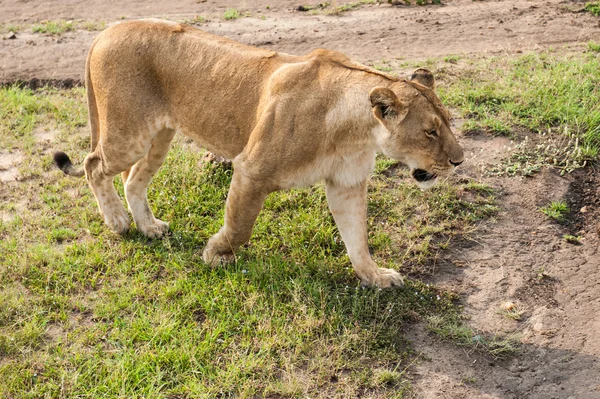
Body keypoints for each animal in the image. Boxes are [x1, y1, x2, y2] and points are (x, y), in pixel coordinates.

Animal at [52, 19, 464, 288]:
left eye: (448, 121)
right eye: (429, 132)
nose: (458, 161)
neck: (355, 131)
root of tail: (106, 30)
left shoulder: (346, 184)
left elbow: (357, 239)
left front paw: (375, 277)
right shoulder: (251, 170)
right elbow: (240, 225)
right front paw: (215, 254)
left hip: (160, 137)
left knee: (133, 179)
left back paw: (148, 227)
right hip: (128, 135)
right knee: (93, 165)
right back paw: (118, 222)